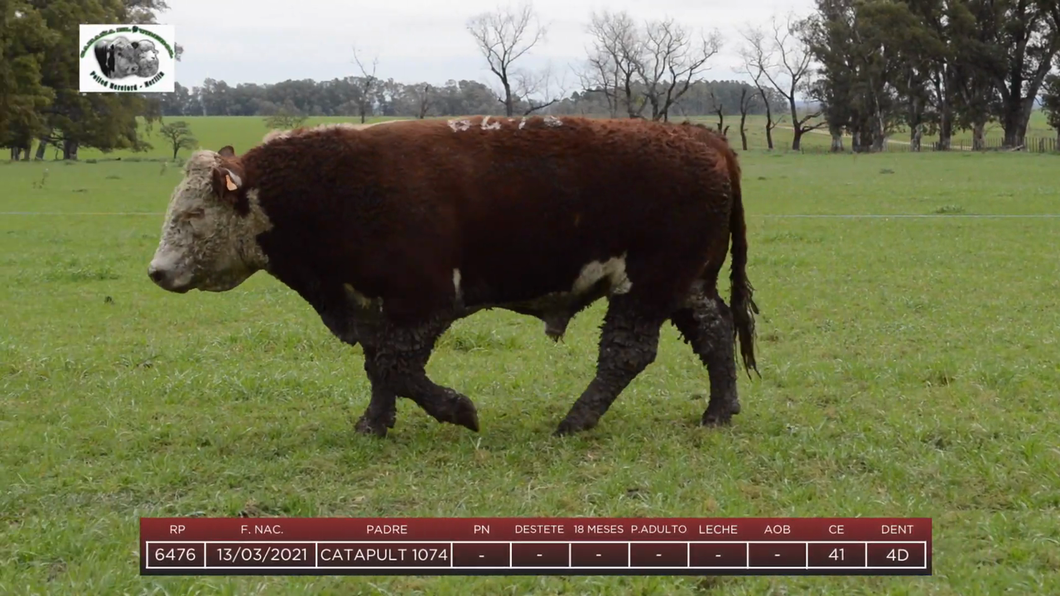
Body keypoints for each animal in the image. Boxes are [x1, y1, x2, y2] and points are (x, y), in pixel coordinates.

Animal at [151, 116, 763, 436]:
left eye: (193, 214)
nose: (157, 271)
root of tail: (701, 137)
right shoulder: (373, 303)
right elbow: (379, 365)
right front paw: (374, 423)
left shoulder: (423, 299)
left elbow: (396, 365)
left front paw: (459, 411)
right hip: (685, 284)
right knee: (716, 331)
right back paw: (718, 411)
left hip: (647, 285)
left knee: (628, 353)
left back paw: (575, 419)